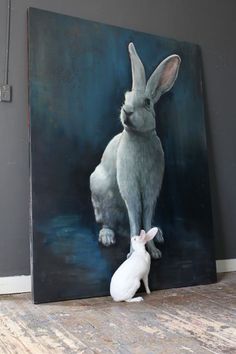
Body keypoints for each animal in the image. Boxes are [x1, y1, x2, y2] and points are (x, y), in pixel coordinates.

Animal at [90, 42, 181, 258]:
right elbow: (135, 216)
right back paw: (108, 237)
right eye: (126, 98)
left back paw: (158, 234)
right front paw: (133, 253)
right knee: (109, 223)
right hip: (103, 197)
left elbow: (145, 216)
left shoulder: (151, 189)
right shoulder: (130, 187)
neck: (139, 137)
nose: (127, 111)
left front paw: (154, 251)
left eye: (147, 102)